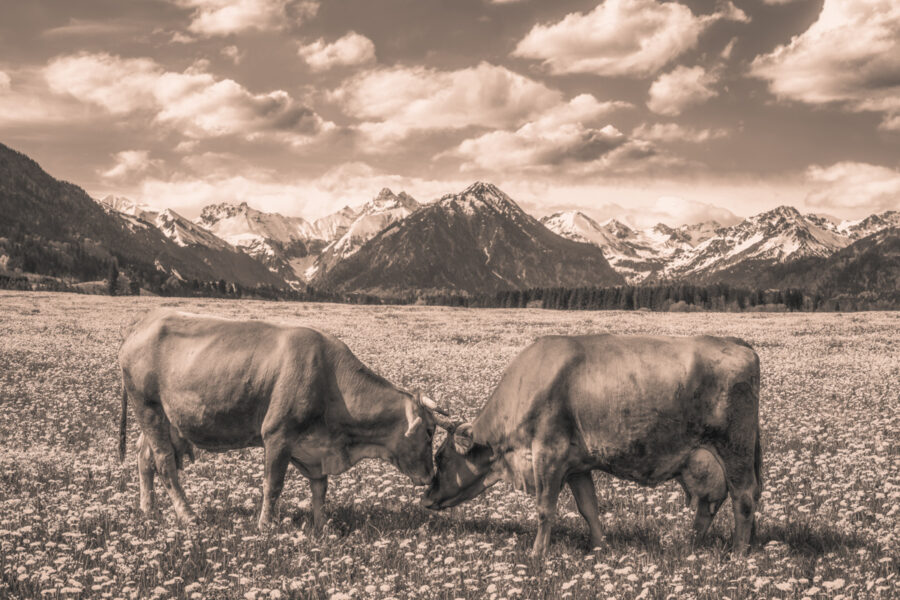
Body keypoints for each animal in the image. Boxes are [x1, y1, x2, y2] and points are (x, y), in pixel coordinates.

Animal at [119, 310, 454, 528]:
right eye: (428, 431)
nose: (430, 476)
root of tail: (143, 323)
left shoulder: (315, 449)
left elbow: (320, 488)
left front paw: (322, 527)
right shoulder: (278, 434)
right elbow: (273, 484)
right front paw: (266, 526)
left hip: (165, 419)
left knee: (144, 458)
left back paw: (149, 511)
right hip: (148, 407)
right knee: (164, 463)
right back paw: (188, 516)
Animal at [422, 336, 760, 560]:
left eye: (440, 457)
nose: (425, 498)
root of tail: (736, 343)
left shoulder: (548, 455)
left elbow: (545, 509)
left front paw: (537, 555)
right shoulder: (576, 466)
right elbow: (589, 508)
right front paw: (599, 548)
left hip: (736, 451)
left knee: (743, 498)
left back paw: (738, 555)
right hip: (705, 460)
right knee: (710, 503)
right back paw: (691, 547)